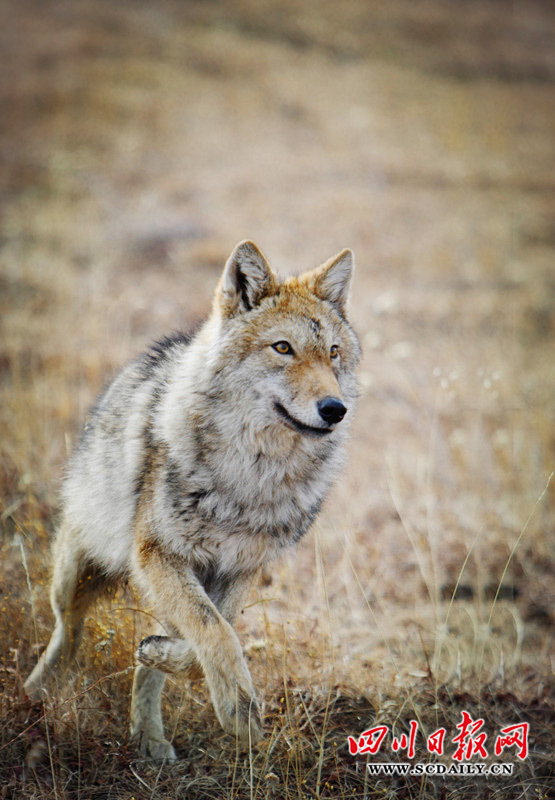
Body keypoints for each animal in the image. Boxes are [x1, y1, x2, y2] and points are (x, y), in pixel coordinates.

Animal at [26, 241, 362, 760]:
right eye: (282, 348)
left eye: (333, 353)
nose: (334, 409)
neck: (252, 475)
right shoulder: (158, 555)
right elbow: (214, 632)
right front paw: (240, 713)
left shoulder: (240, 568)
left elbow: (210, 633)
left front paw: (161, 655)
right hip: (76, 573)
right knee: (69, 629)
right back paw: (36, 692)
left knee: (149, 661)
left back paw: (149, 739)